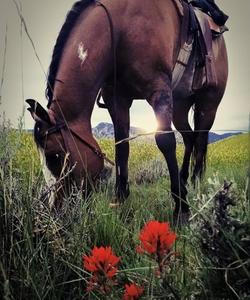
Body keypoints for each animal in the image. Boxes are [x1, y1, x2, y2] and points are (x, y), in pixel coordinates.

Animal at [25, 0, 229, 220]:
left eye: (54, 156)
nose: (54, 211)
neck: (122, 28)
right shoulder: (117, 99)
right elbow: (121, 146)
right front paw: (120, 198)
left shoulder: (159, 90)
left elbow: (166, 141)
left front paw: (181, 207)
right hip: (180, 107)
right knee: (190, 138)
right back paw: (184, 179)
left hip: (208, 104)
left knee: (200, 140)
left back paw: (196, 183)